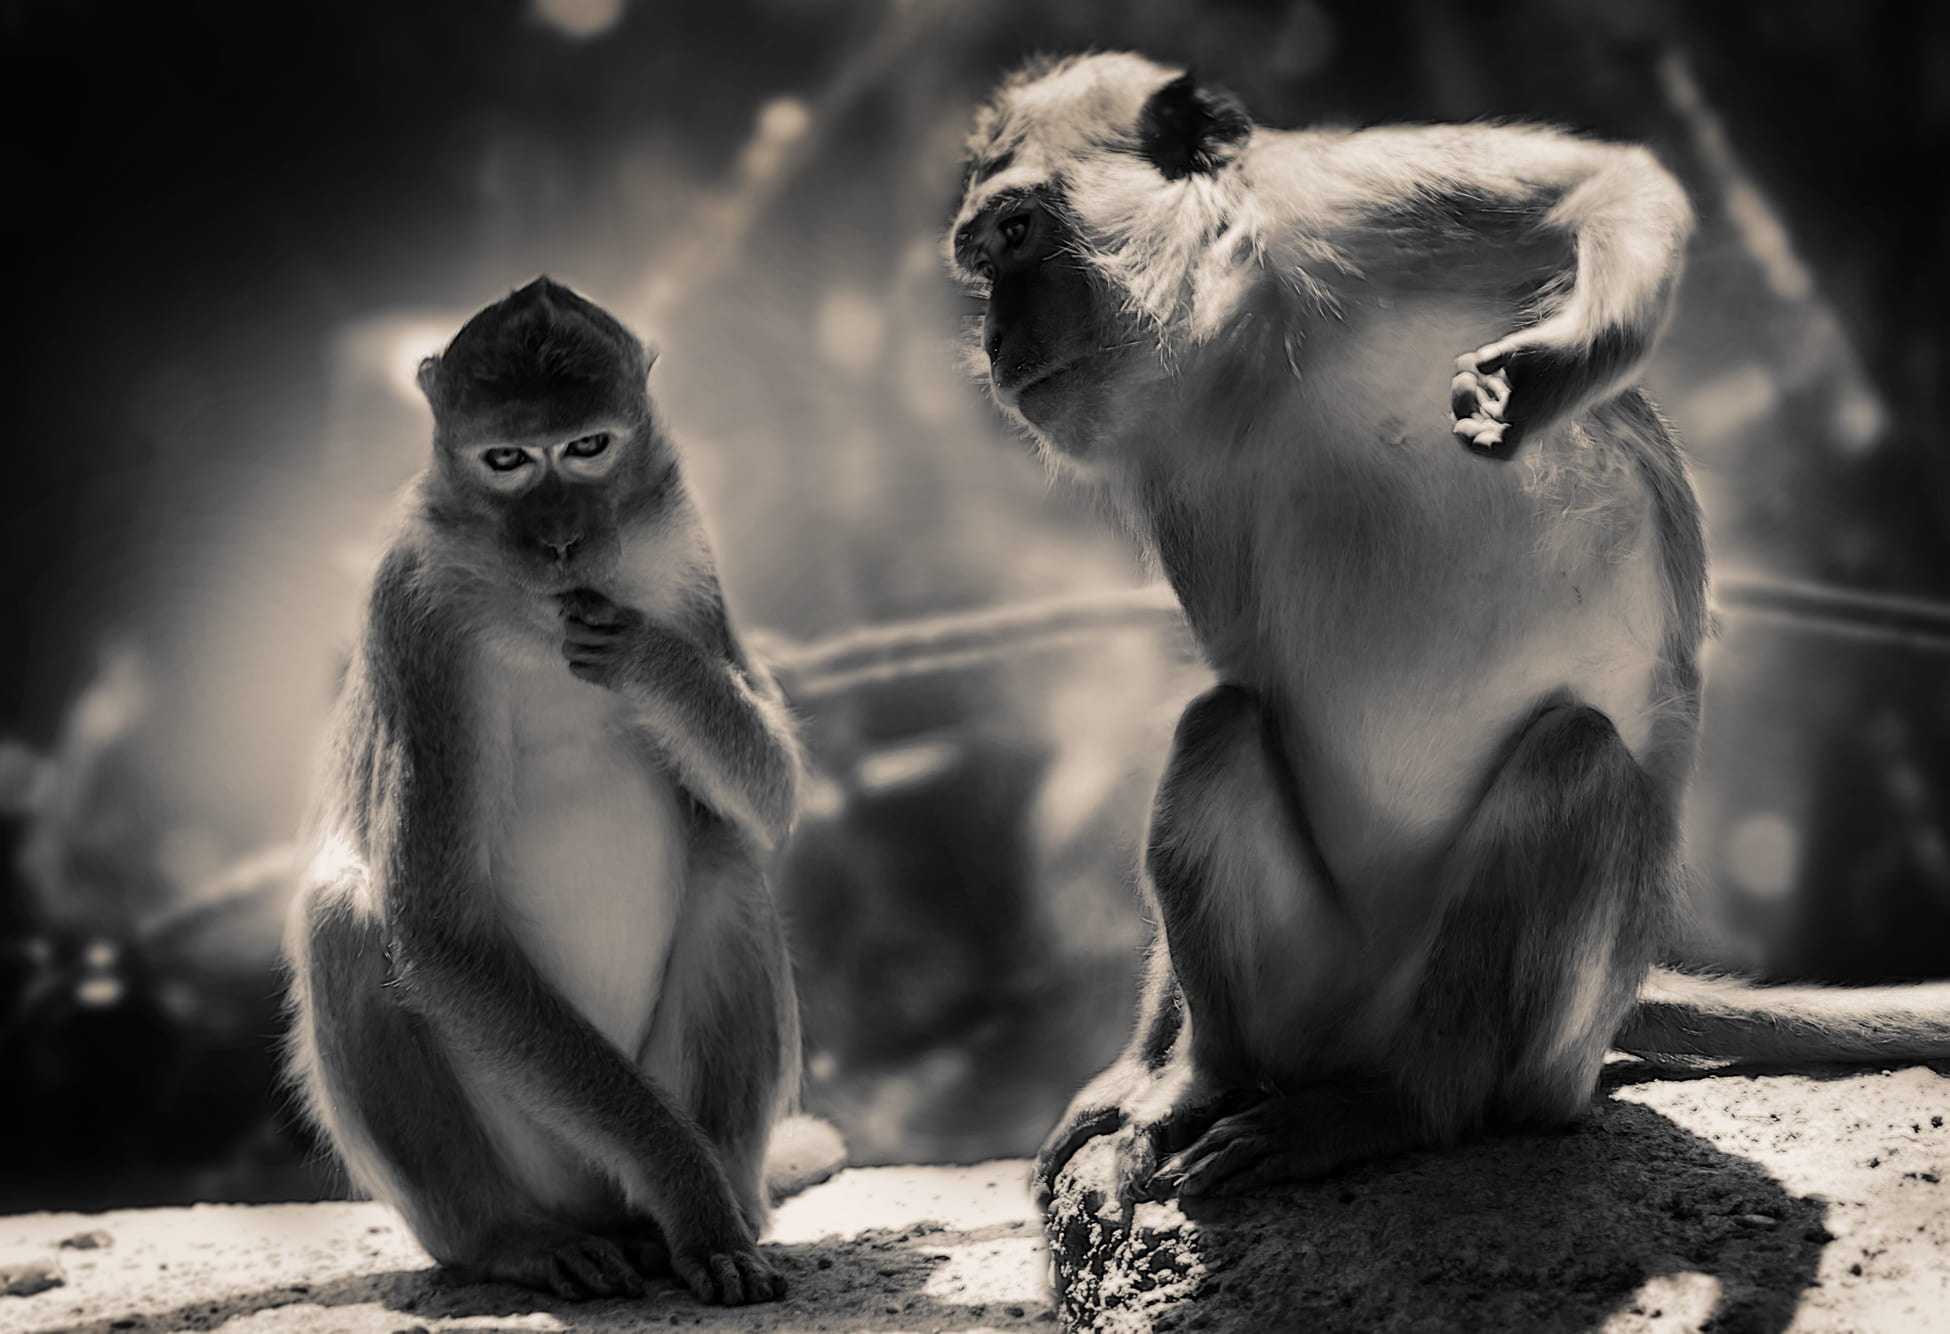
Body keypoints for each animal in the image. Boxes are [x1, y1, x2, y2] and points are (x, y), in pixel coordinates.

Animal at [283, 277, 811, 1304]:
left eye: (587, 447)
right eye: (508, 461)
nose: (563, 540)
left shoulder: (685, 548)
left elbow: (772, 795)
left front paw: (649, 658)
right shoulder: (417, 622)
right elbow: (441, 932)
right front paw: (689, 1196)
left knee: (728, 857)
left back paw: (733, 1196)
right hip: (538, 1151)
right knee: (342, 922)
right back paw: (522, 1239)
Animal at [944, 53, 1950, 1208]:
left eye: (1019, 231)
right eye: (984, 260)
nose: (997, 339)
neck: (1241, 355)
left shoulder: (1339, 207)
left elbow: (1606, 184)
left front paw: (1549, 376)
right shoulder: (1167, 459)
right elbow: (1248, 678)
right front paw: (1133, 1073)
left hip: (1539, 1042)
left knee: (1573, 761)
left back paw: (1404, 1106)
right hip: (1313, 985)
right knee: (1222, 725)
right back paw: (1207, 1077)